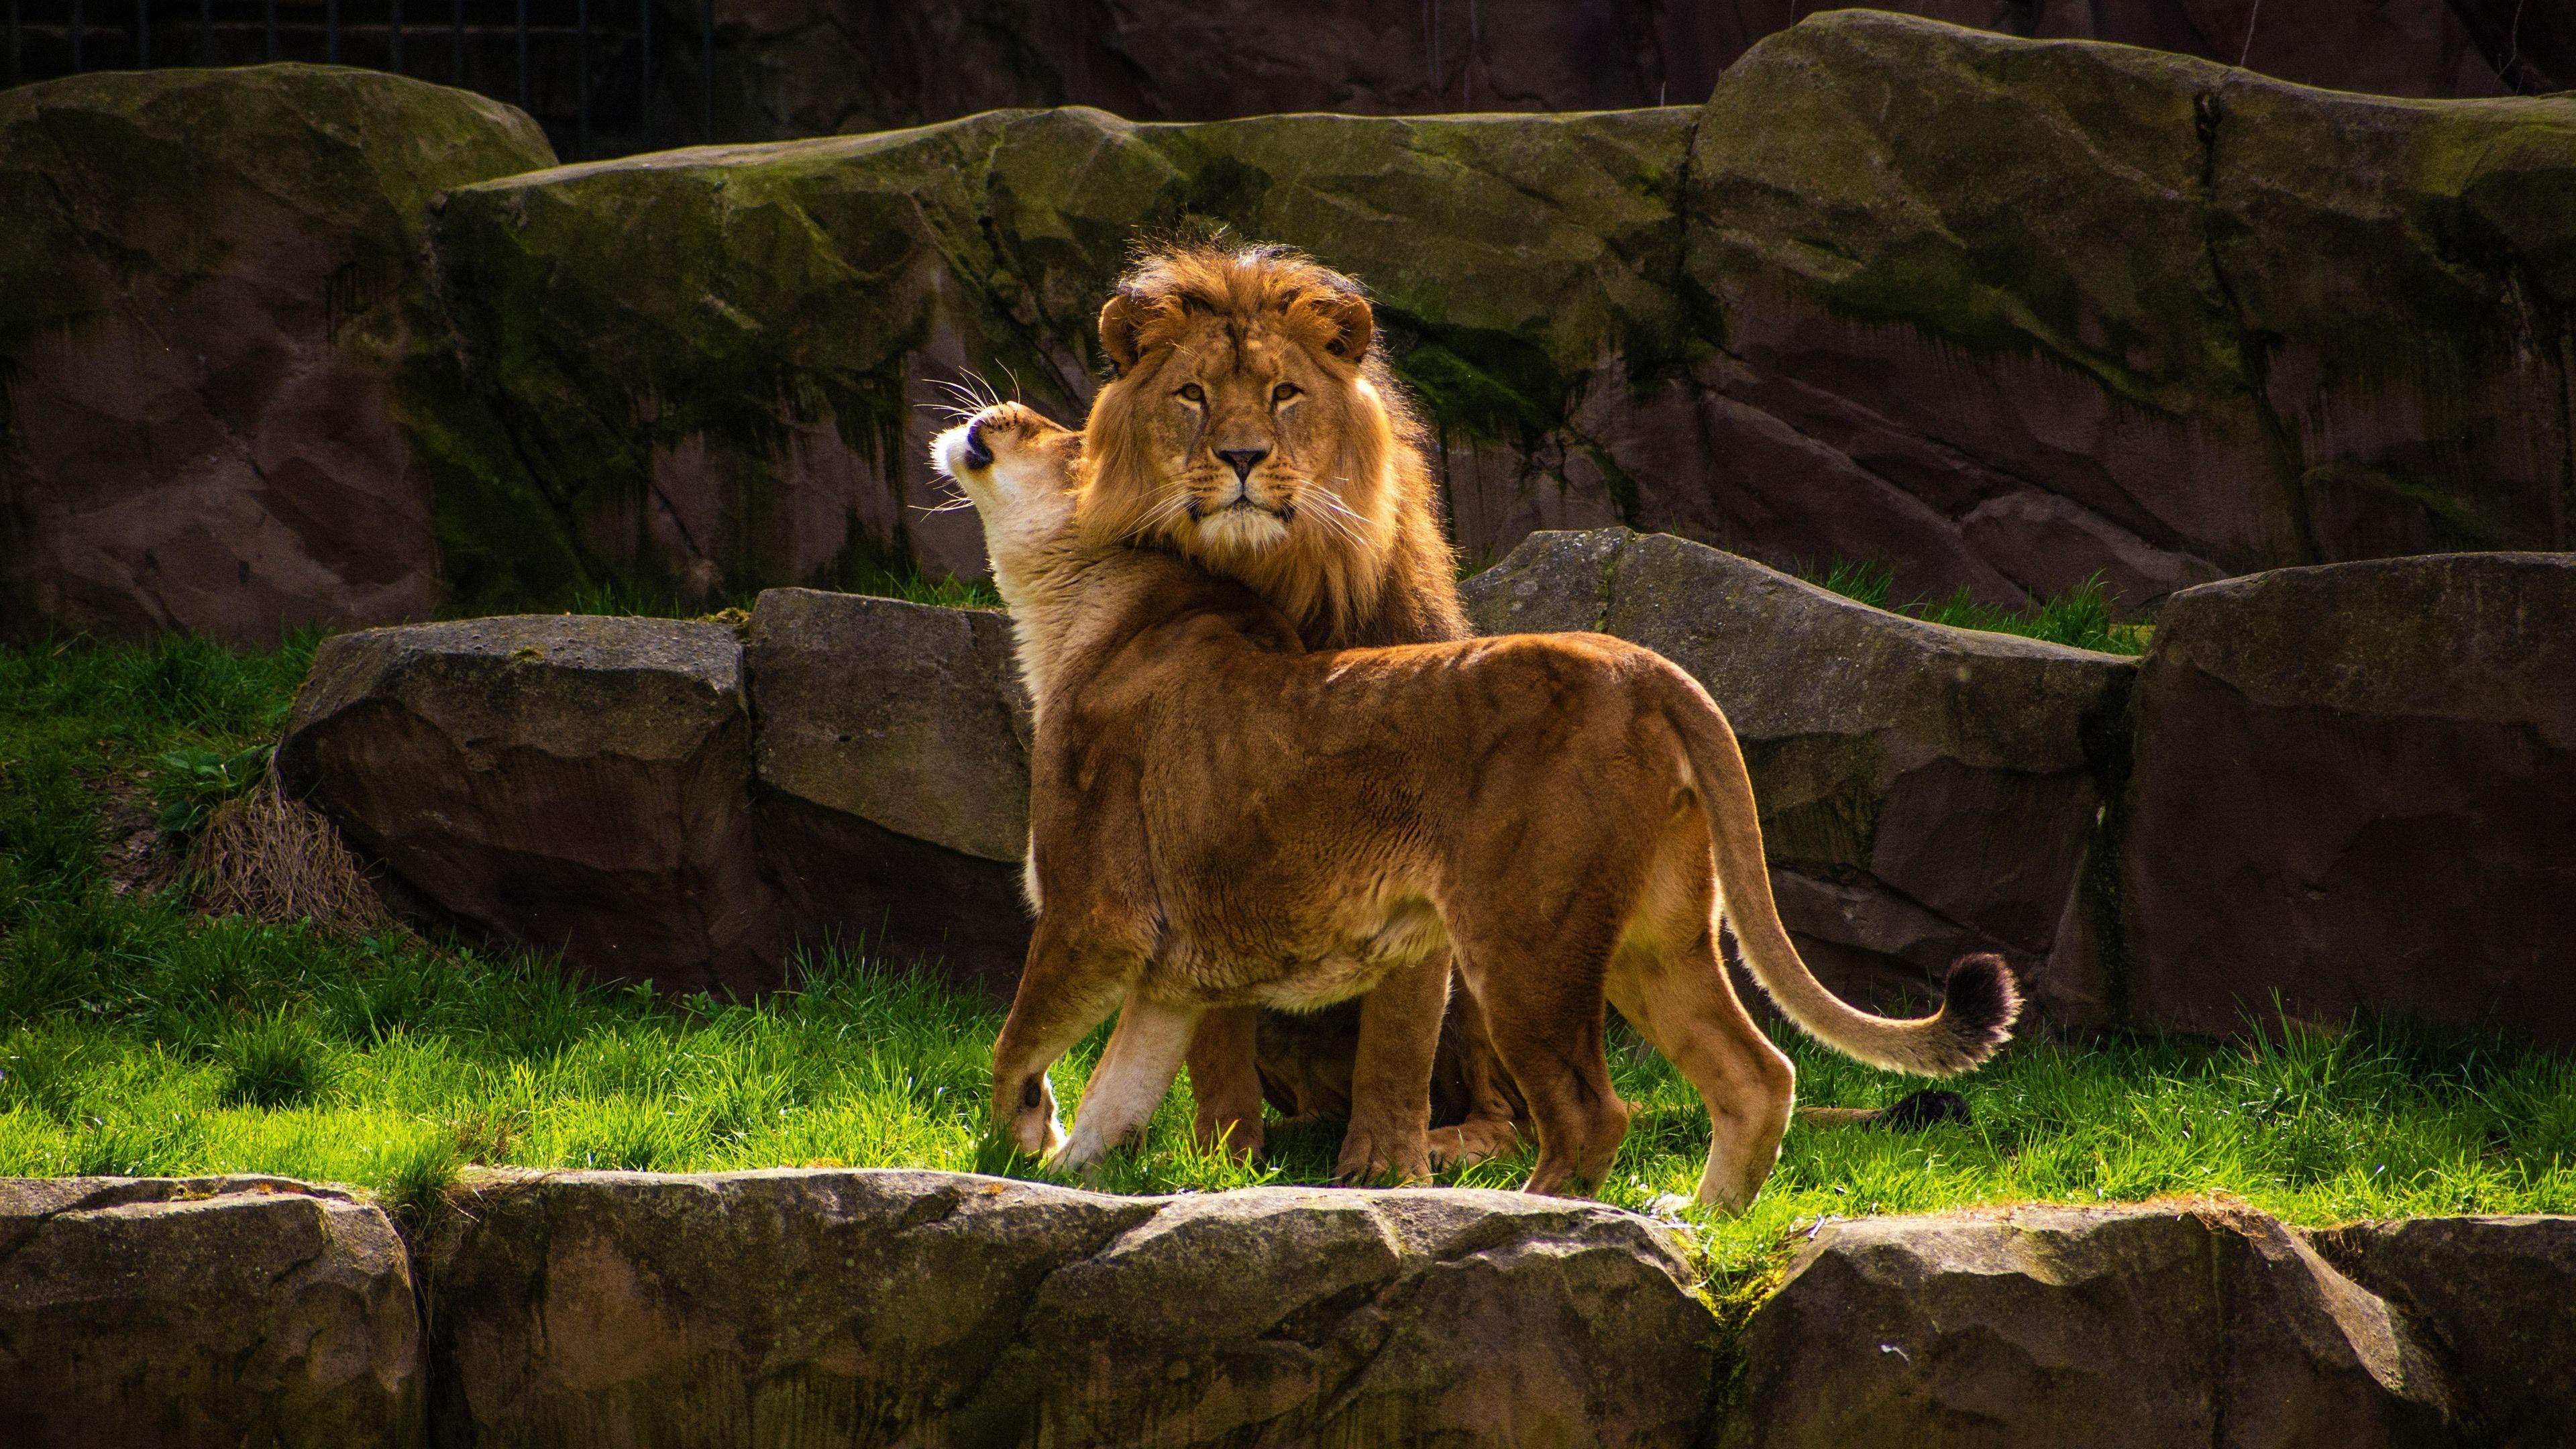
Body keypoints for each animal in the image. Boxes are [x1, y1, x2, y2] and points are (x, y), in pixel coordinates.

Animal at [927, 399, 2009, 1201]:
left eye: (1058, 433)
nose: (990, 409)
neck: (1079, 611)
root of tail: (1644, 664)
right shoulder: (1169, 974)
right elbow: (1122, 1091)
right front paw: (1070, 1166)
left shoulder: (1097, 916)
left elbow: (1018, 1039)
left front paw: (1017, 1139)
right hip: (1652, 937)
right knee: (1757, 1077)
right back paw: (1698, 1221)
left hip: (1523, 937)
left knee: (1590, 1113)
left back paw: (1535, 1215)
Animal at [1071, 245, 1525, 1175]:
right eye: (1193, 395)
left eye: (1285, 393)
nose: (1243, 456)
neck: (1273, 586)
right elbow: (1213, 1041)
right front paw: (1219, 1160)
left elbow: (1399, 1034)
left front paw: (1387, 1167)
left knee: (1504, 1102)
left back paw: (1454, 1141)